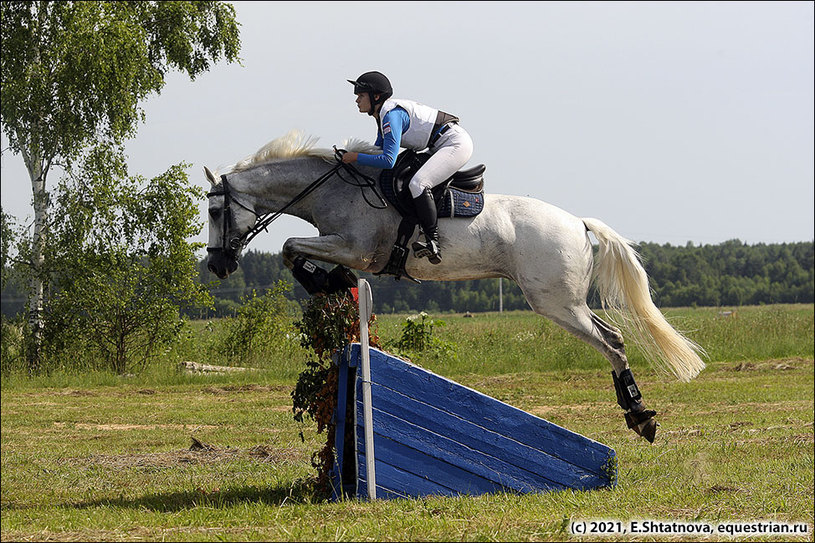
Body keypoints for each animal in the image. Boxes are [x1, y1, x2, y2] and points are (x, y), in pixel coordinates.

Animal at [206, 131, 708, 442]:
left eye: (214, 212)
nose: (217, 265)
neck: (334, 189)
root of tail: (578, 223)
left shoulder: (355, 248)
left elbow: (290, 247)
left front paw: (328, 279)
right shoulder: (341, 245)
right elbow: (292, 249)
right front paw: (331, 281)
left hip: (555, 302)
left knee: (612, 342)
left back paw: (640, 416)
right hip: (565, 302)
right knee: (612, 338)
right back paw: (637, 414)